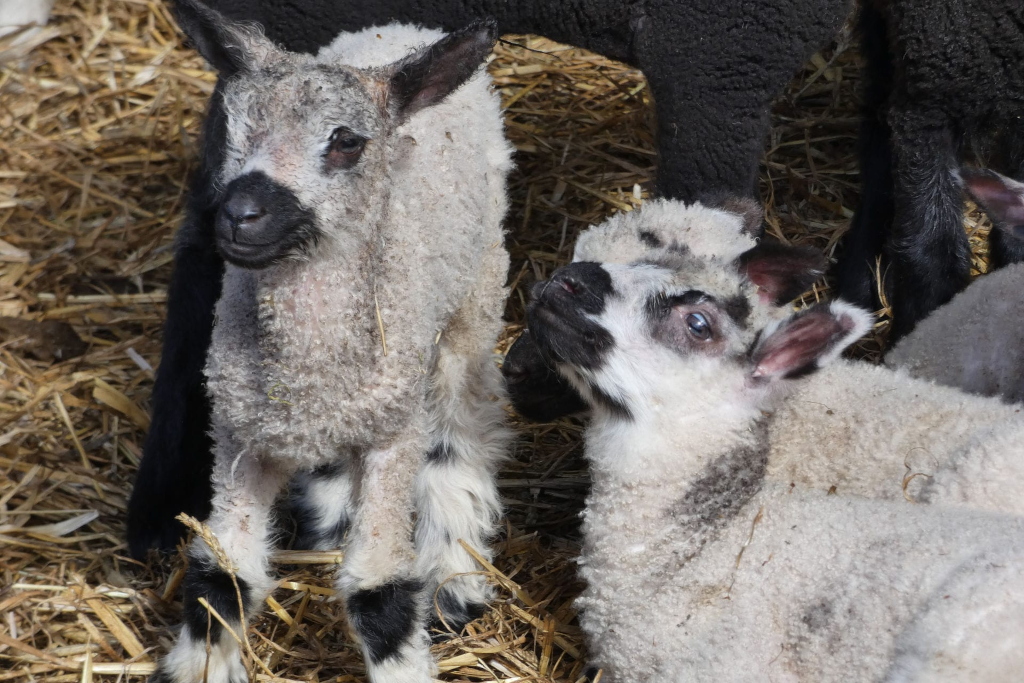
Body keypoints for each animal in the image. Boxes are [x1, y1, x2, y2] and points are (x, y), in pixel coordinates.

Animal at [149, 2, 513, 682]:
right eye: (231, 128)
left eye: (346, 142)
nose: (238, 214)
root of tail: (407, 30)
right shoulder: (240, 435)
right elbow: (221, 580)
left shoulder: (392, 434)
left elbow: (379, 593)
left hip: (473, 297)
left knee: (461, 424)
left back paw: (455, 574)